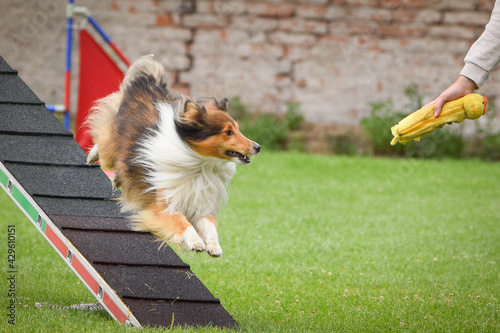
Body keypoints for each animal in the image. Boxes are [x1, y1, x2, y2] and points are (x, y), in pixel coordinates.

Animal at [85, 55, 260, 255]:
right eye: (228, 132)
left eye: (238, 129)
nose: (258, 147)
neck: (201, 164)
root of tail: (150, 86)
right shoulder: (165, 202)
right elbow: (181, 223)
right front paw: (195, 241)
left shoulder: (202, 203)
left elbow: (210, 226)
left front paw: (214, 246)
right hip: (110, 146)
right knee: (104, 145)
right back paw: (92, 156)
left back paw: (117, 179)